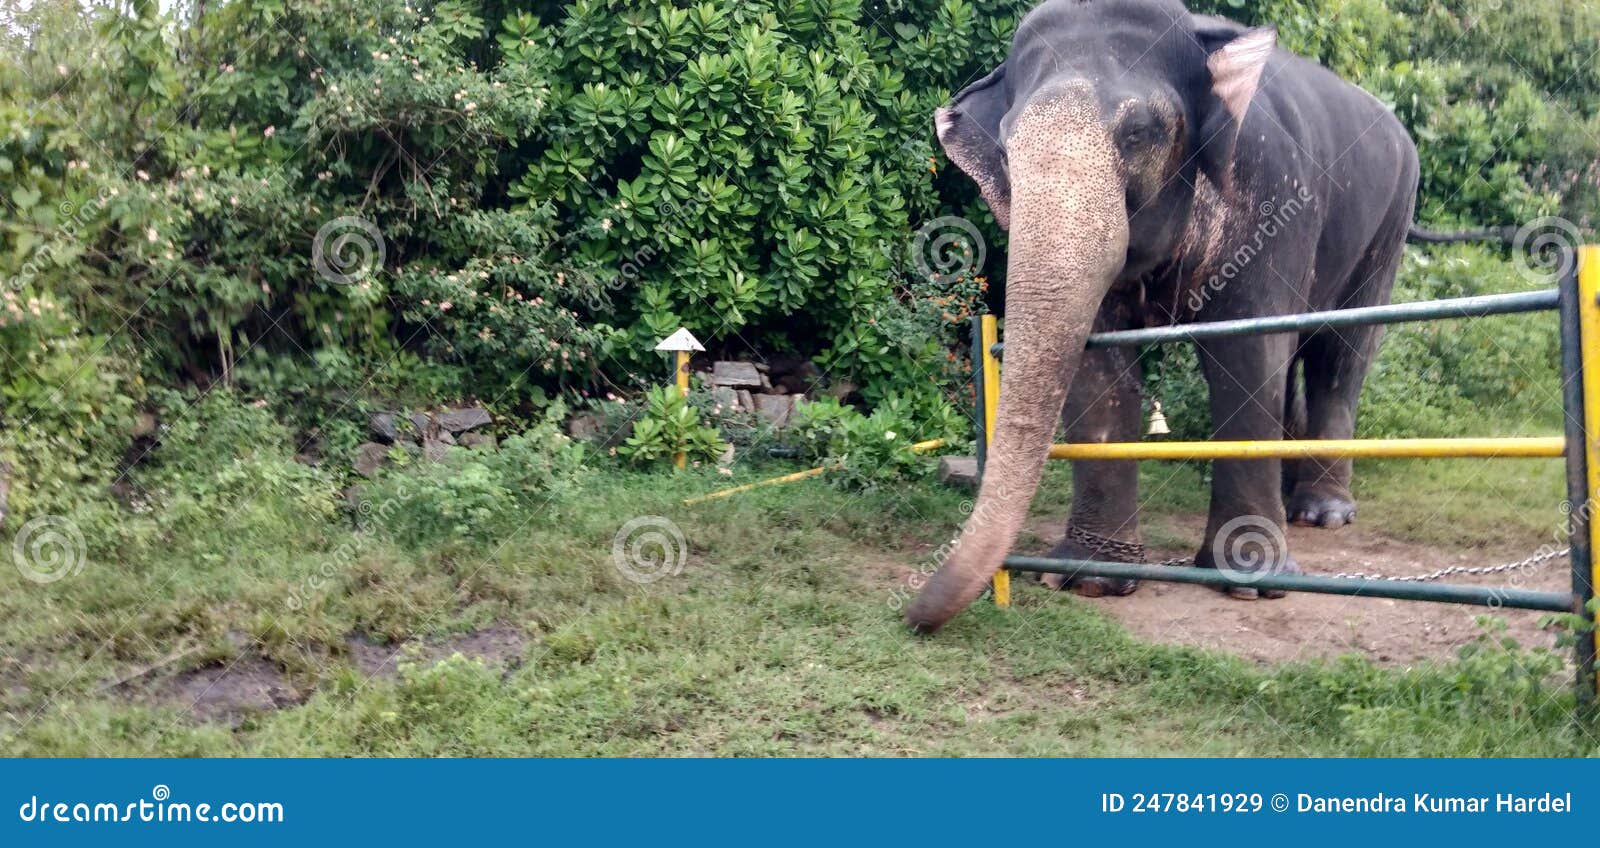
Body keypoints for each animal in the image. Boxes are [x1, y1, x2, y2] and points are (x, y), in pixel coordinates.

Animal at [907, 0, 1428, 631]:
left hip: (1392, 217)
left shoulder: (1275, 193)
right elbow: (1099, 361)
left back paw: (1321, 514)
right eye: (1006, 152)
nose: (911, 614)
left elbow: (1247, 351)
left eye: (1138, 133)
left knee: (1340, 352)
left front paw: (1251, 580)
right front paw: (1090, 580)